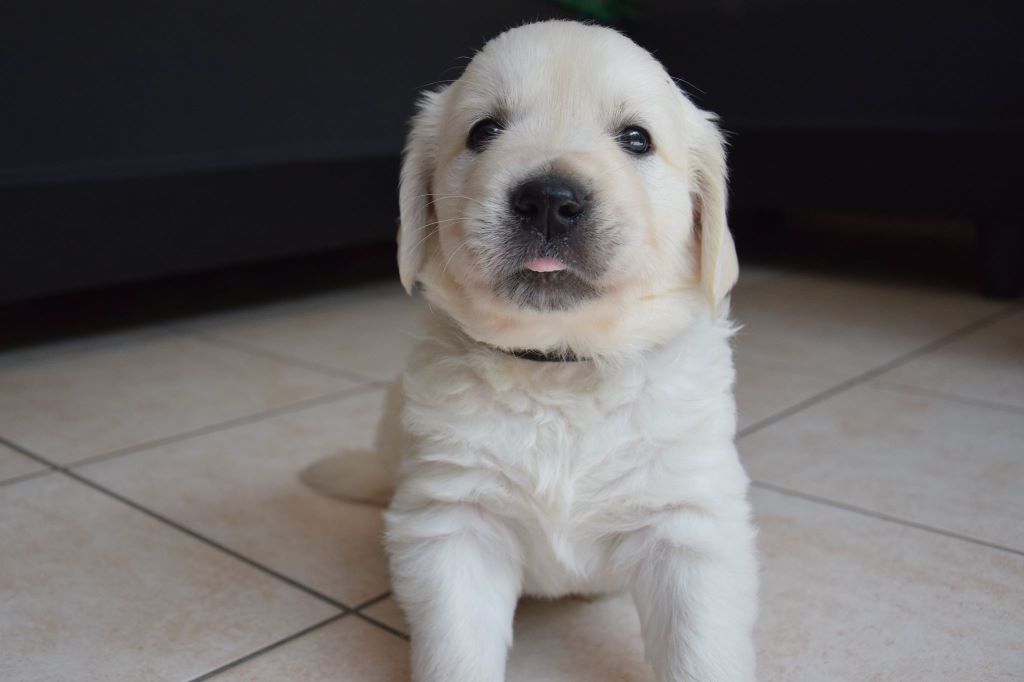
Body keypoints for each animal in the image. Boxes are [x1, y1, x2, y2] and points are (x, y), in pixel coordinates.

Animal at [311, 19, 758, 682]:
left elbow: (700, 651)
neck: (560, 368)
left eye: (636, 138)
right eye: (484, 130)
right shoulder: (454, 522)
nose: (549, 199)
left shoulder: (688, 524)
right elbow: (456, 650)